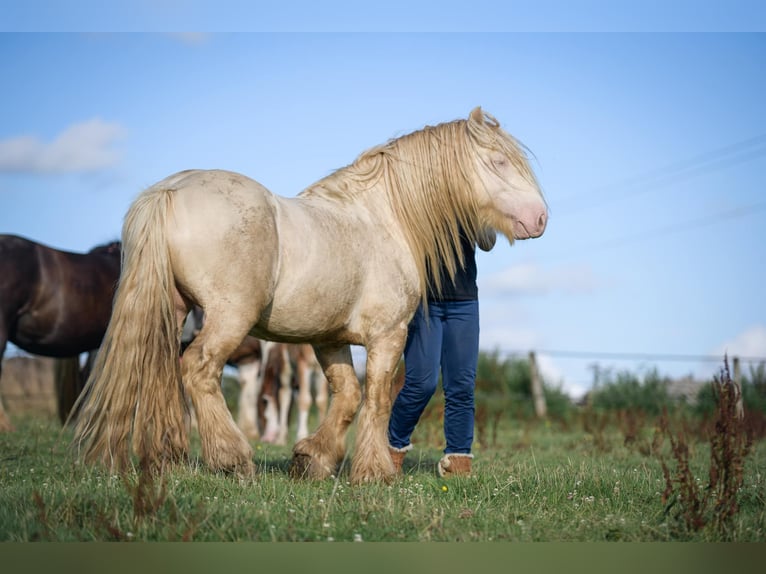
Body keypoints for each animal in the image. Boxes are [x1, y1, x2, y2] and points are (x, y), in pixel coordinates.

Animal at [72, 108, 544, 486]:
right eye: (499, 161)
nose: (539, 218)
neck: (382, 219)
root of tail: (169, 191)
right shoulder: (388, 336)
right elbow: (377, 399)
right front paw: (373, 473)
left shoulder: (328, 339)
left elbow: (347, 397)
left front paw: (312, 458)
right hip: (228, 317)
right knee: (199, 370)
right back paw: (233, 458)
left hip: (173, 312)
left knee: (162, 372)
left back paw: (167, 459)